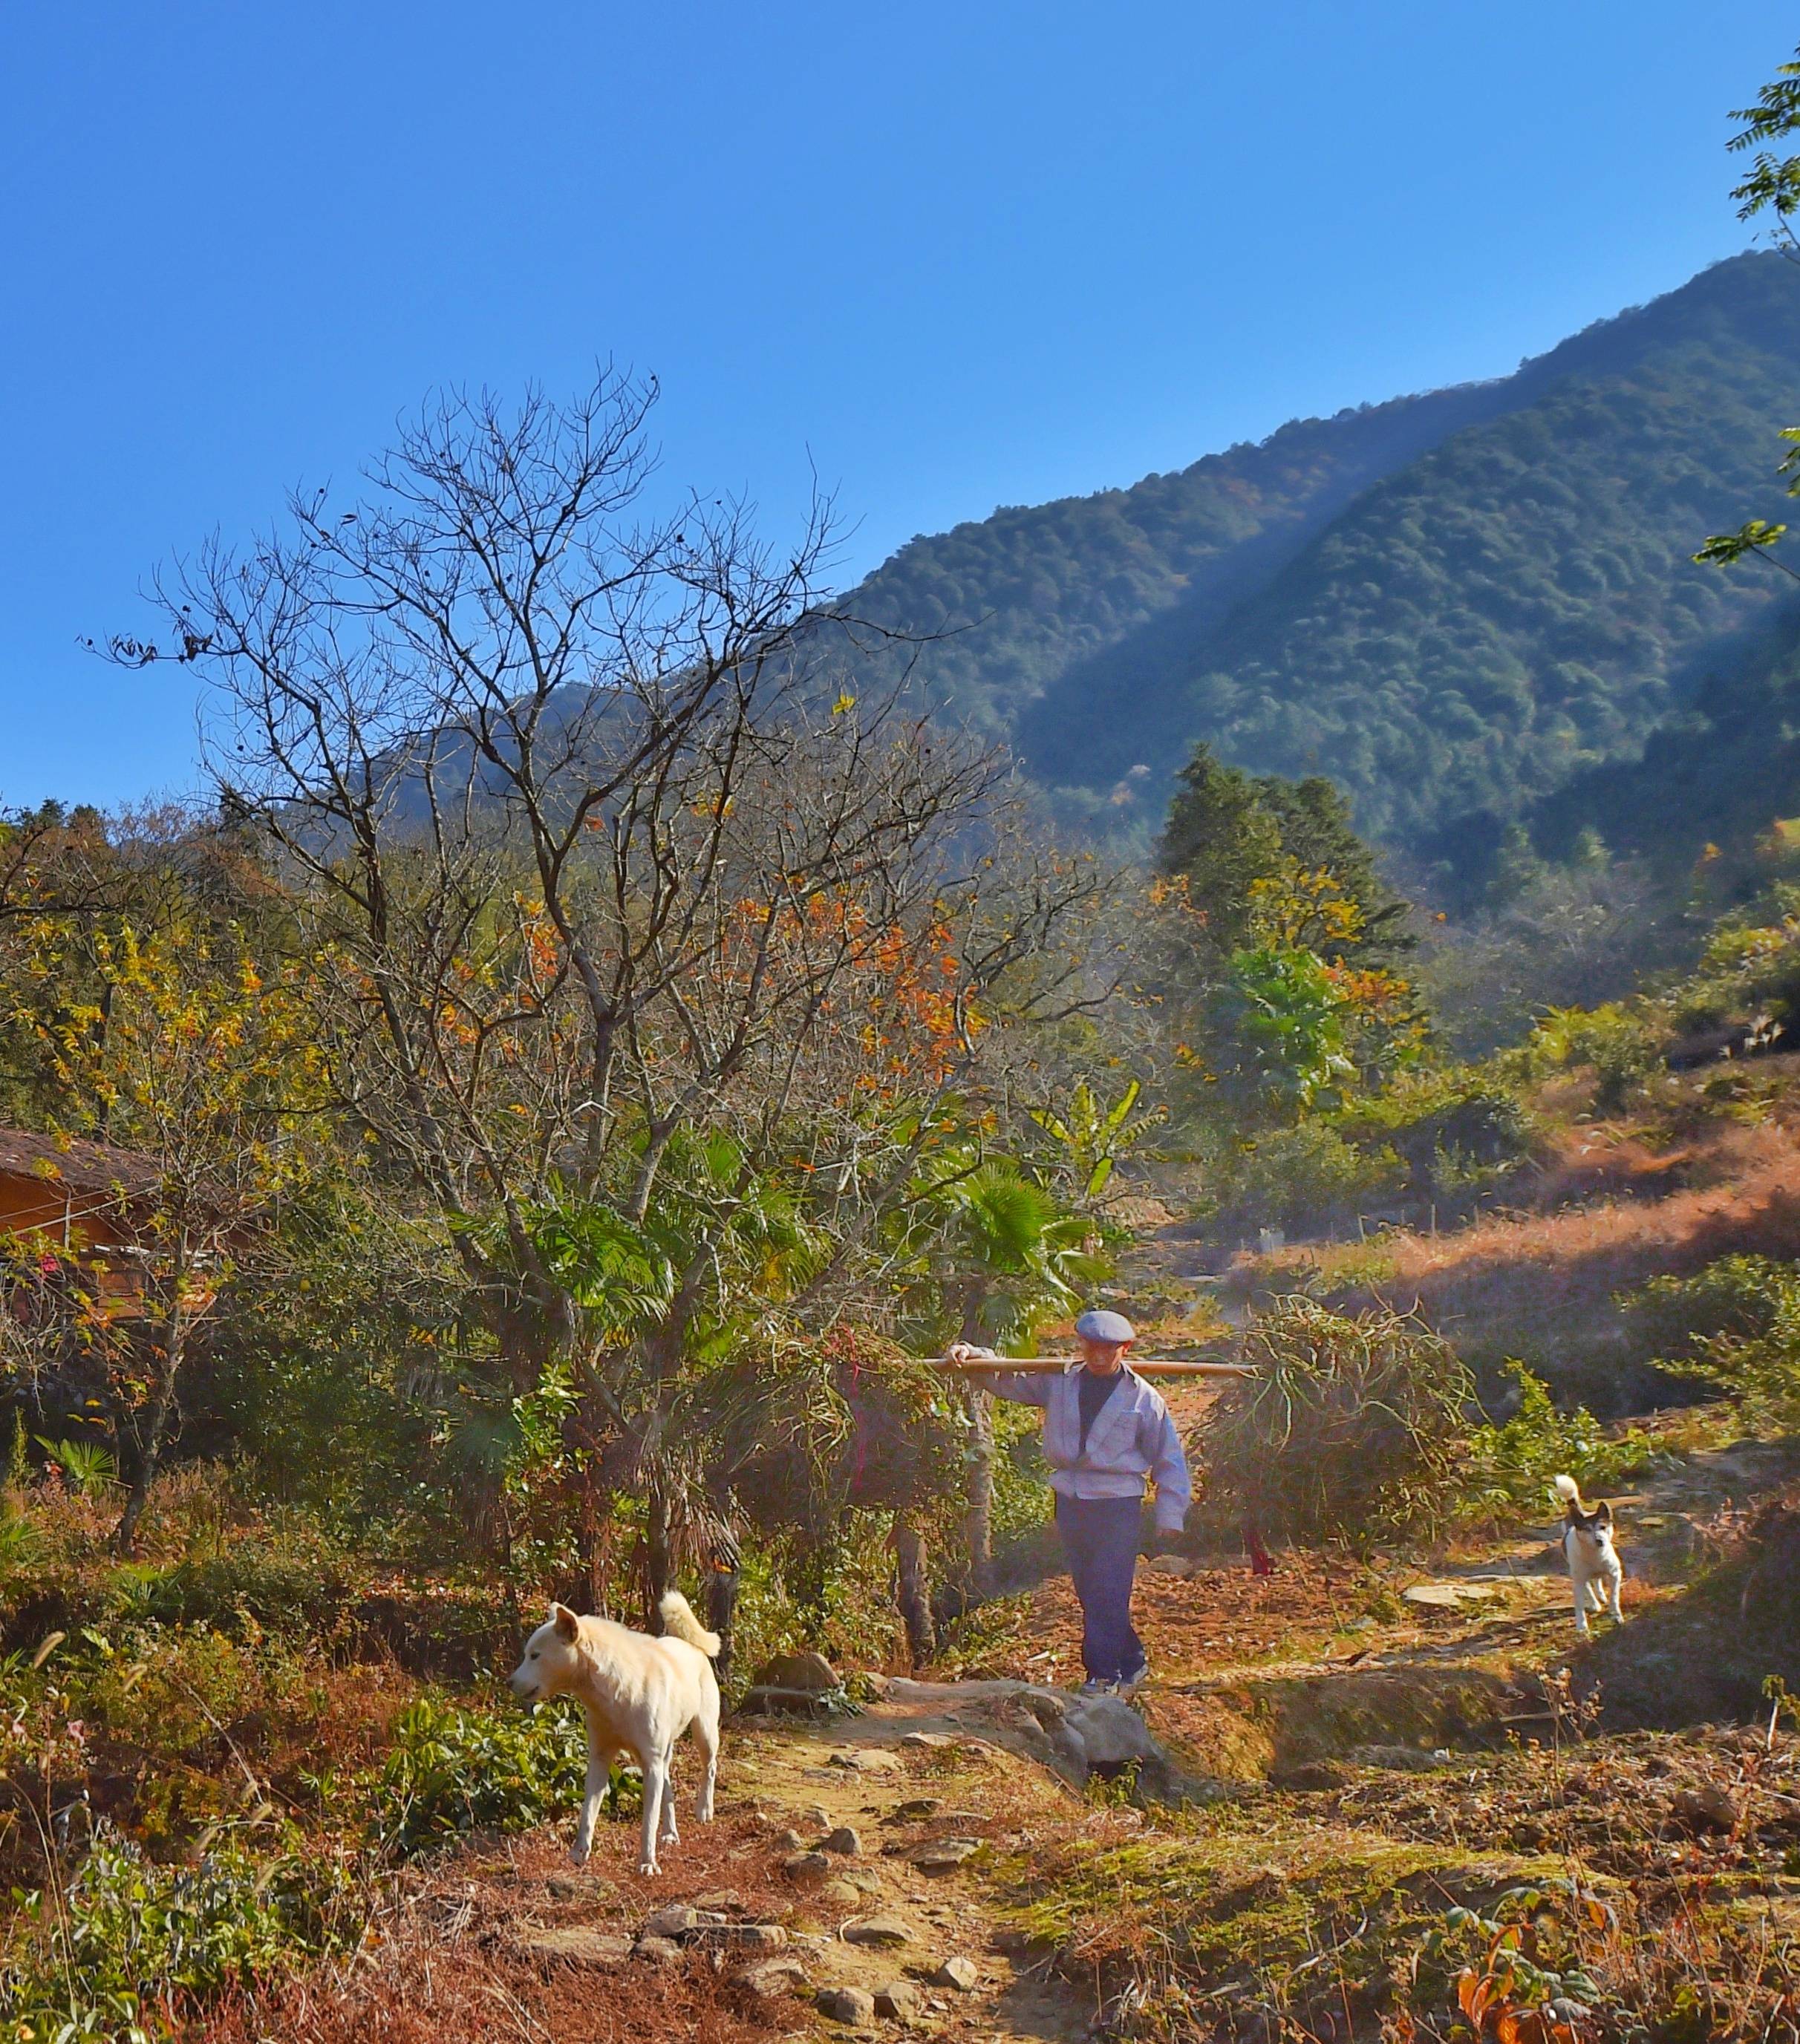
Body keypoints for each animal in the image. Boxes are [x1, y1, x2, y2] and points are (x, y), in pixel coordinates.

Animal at [509, 1586, 720, 1872]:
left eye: (535, 1655)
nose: (509, 1683)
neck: (614, 1693)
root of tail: (690, 1645)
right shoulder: (601, 1757)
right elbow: (588, 1812)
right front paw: (579, 1853)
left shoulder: (650, 1764)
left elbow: (648, 1822)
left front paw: (647, 1864)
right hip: (663, 1757)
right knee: (669, 1791)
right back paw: (670, 1833)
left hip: (703, 1734)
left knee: (710, 1768)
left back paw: (704, 1810)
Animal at [1554, 1480, 1628, 1635]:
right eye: (1587, 1529)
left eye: (1603, 1527)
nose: (1600, 1541)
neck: (1595, 1554)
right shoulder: (1578, 1582)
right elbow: (1580, 1605)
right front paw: (1582, 1626)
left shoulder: (1615, 1574)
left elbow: (1614, 1597)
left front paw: (1615, 1614)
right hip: (1578, 1574)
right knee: (1588, 1586)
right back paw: (1595, 1604)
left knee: (1597, 1580)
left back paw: (1601, 1596)